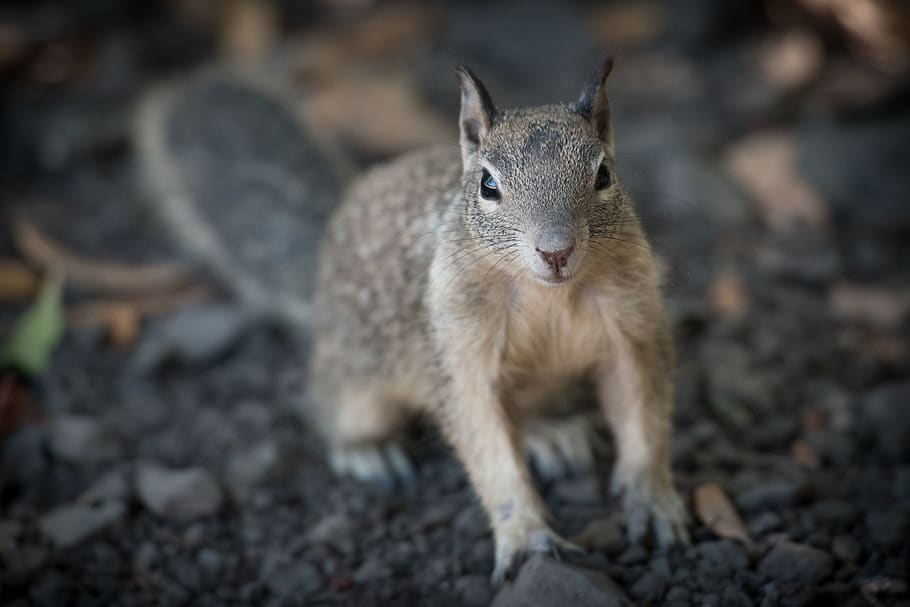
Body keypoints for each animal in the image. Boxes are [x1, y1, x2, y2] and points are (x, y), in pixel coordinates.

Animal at [307, 58, 690, 583]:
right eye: (488, 185)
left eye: (604, 174)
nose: (556, 251)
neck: (550, 296)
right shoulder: (460, 350)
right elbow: (488, 445)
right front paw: (527, 537)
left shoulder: (632, 329)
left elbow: (641, 413)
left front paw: (651, 500)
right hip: (354, 377)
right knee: (335, 409)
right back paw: (367, 449)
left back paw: (551, 435)